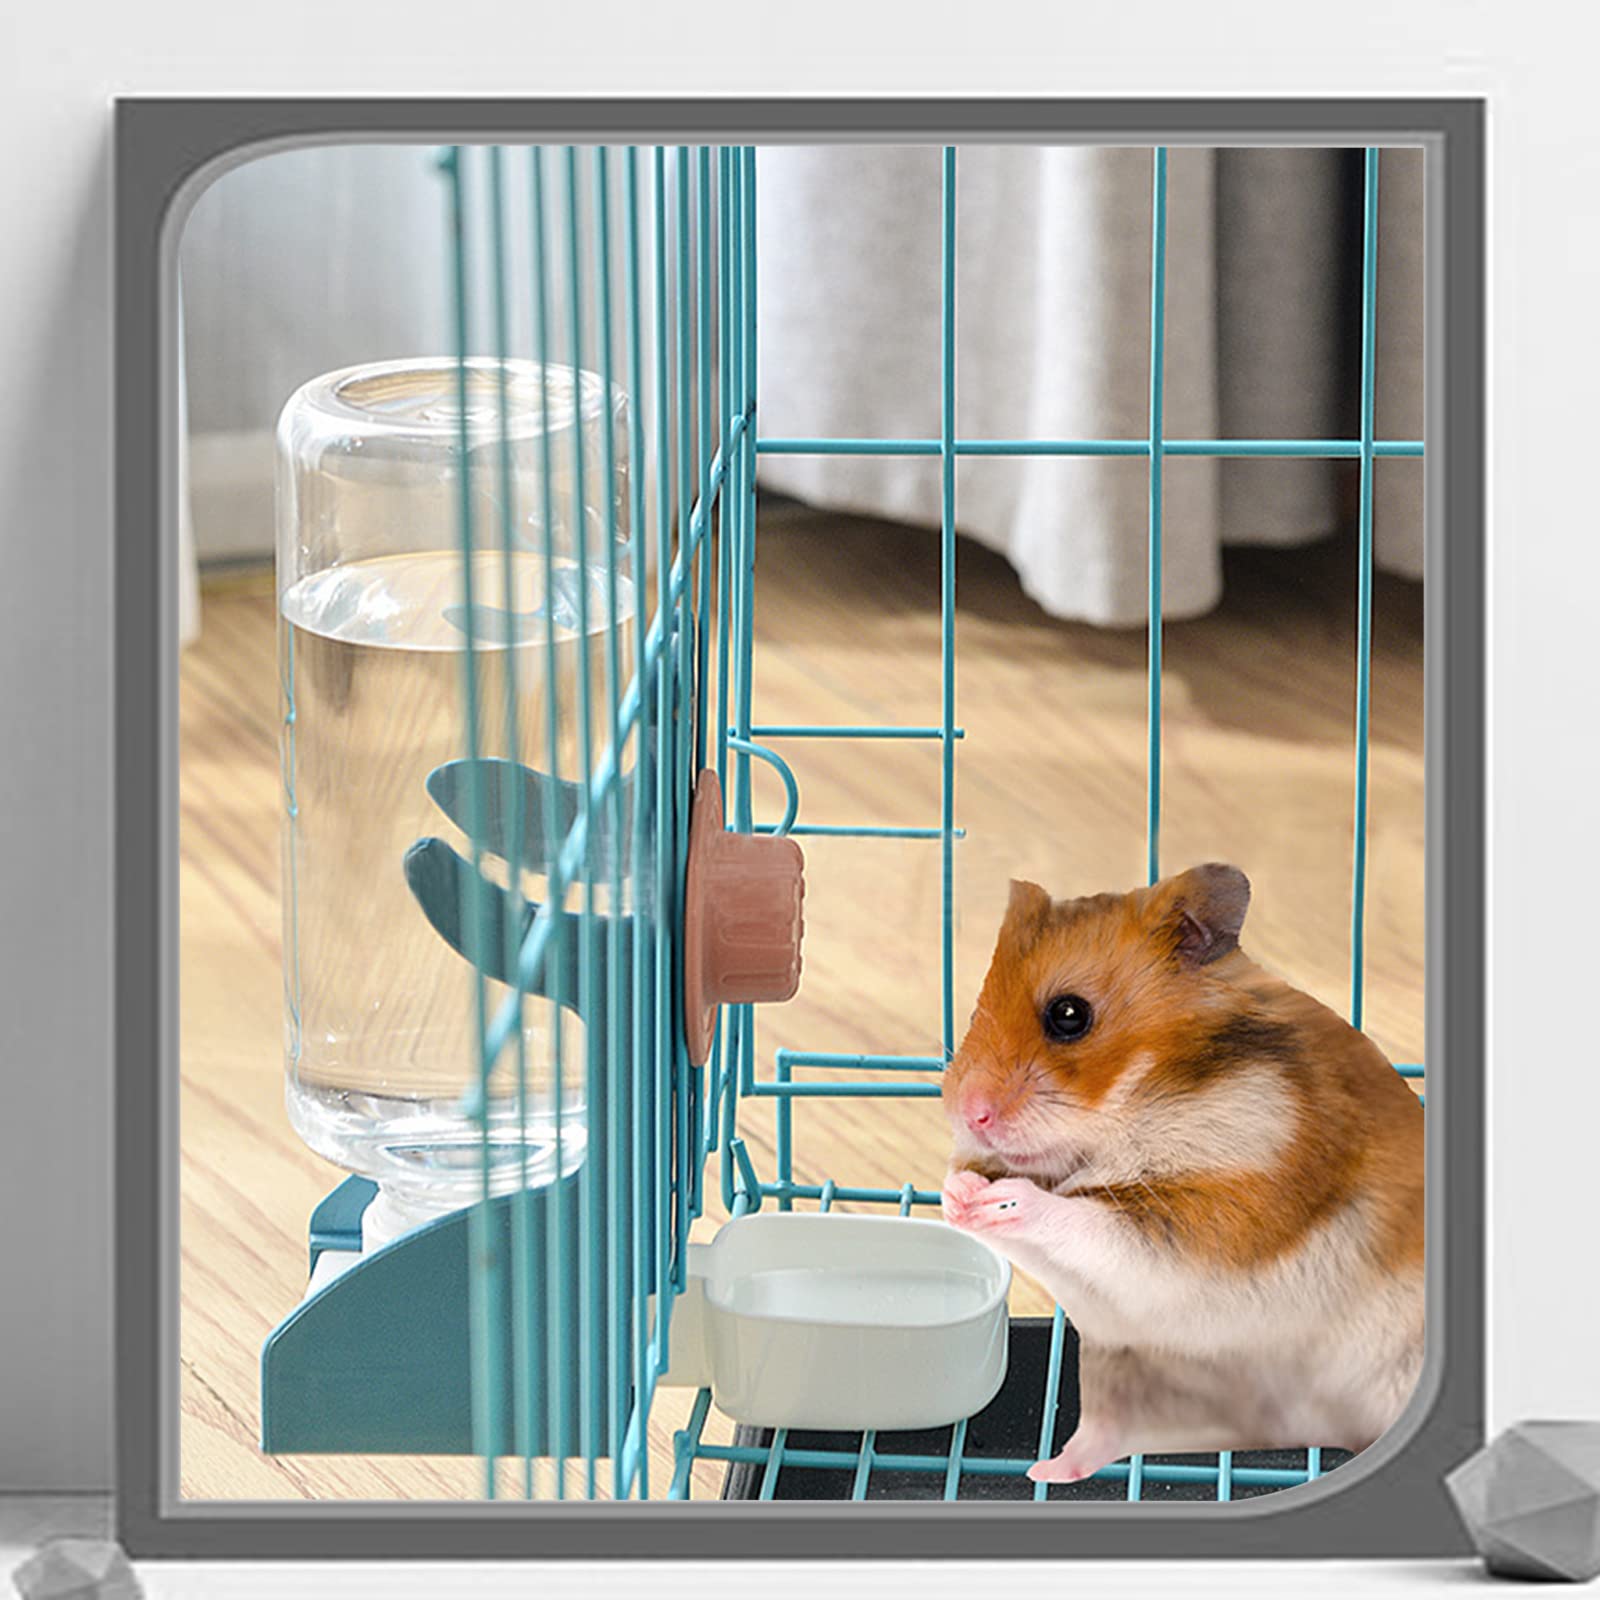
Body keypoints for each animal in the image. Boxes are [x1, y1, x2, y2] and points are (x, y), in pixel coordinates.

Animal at [940, 864, 1424, 1484]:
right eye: (975, 1007)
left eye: (1069, 1015)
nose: (968, 1114)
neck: (1146, 1101)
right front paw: (959, 1193)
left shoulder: (1217, 1220)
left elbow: (1088, 1221)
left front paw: (1005, 1199)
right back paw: (1048, 1471)